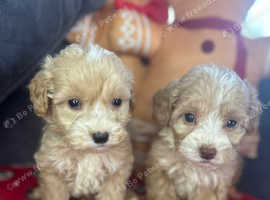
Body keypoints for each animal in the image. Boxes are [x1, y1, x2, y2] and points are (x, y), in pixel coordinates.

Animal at [29, 44, 134, 200]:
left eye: (117, 101)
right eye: (74, 102)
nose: (101, 137)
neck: (88, 154)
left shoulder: (117, 171)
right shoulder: (52, 171)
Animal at [146, 66, 262, 200]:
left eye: (231, 123)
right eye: (189, 117)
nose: (207, 152)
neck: (194, 167)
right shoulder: (160, 172)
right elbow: (162, 193)